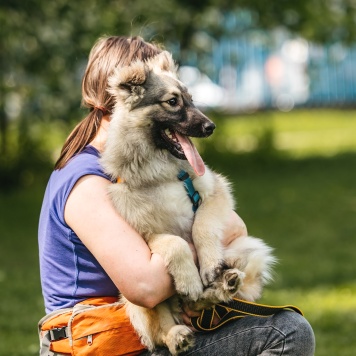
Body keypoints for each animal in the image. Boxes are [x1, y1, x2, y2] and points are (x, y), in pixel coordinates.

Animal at [100, 51, 276, 354]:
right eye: (173, 102)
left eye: (191, 99)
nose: (210, 127)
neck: (162, 171)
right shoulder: (146, 234)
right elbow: (176, 243)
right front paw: (190, 279)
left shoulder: (215, 192)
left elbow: (201, 226)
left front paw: (208, 267)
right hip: (136, 295)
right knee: (160, 330)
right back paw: (178, 334)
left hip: (248, 247)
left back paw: (223, 285)